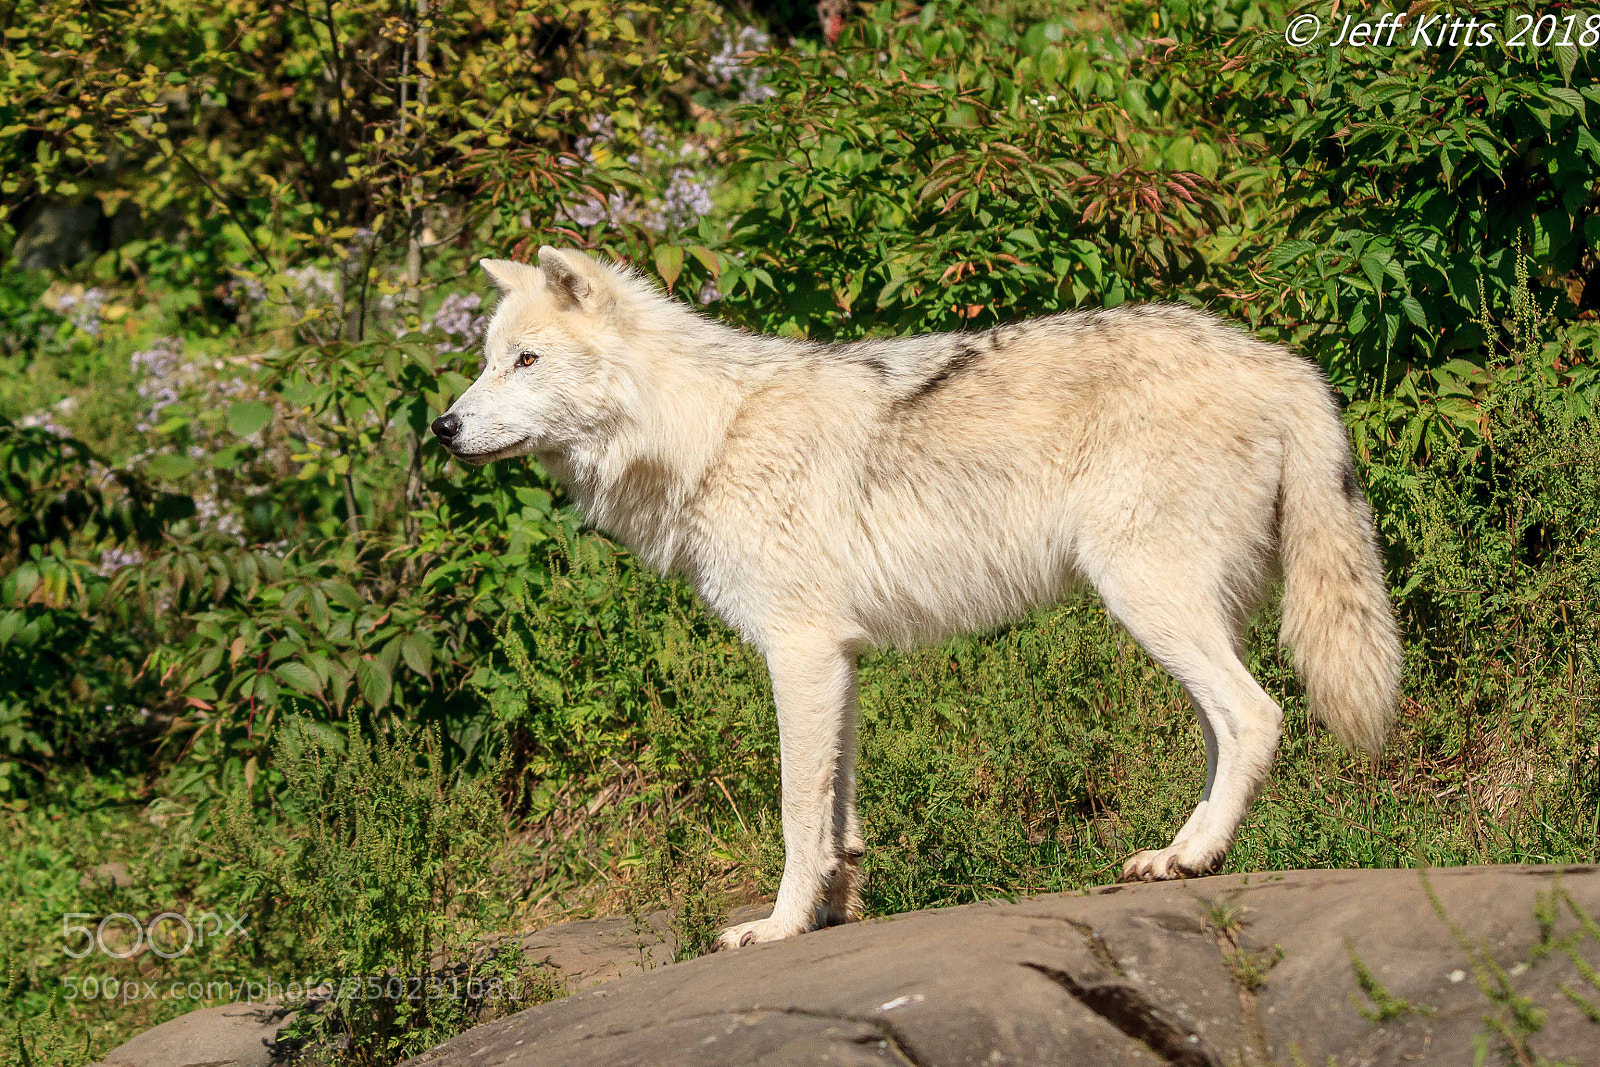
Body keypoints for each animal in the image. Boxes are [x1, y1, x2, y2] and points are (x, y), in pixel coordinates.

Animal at [431, 247, 1403, 950]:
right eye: (484, 364)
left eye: (525, 360)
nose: (442, 427)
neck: (701, 432)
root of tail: (1287, 362)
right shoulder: (838, 659)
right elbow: (839, 817)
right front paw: (832, 913)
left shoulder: (799, 651)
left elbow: (796, 813)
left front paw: (776, 927)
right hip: (1178, 619)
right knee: (1225, 729)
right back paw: (1181, 854)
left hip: (1148, 600)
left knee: (1260, 715)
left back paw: (1195, 854)